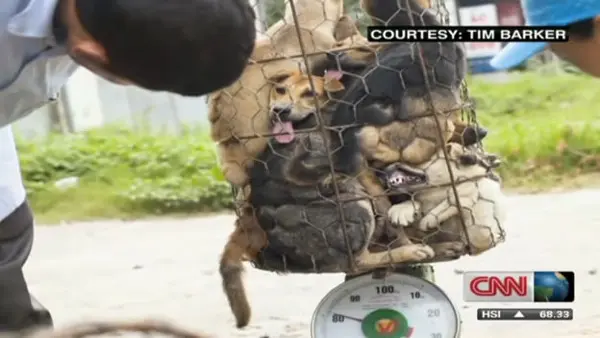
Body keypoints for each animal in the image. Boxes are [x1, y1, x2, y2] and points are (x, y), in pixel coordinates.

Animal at [218, 71, 434, 328]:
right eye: (280, 89)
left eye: (309, 93)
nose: (280, 110)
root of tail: (252, 221)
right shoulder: (360, 169)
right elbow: (384, 202)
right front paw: (405, 239)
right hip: (356, 203)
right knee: (358, 260)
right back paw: (408, 252)